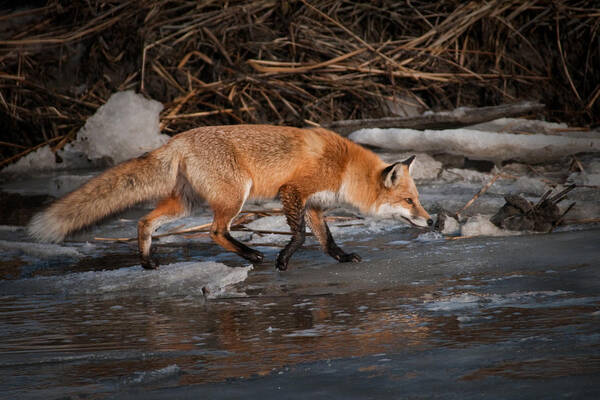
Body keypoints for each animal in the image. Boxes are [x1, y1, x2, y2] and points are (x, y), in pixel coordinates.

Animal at [28, 125, 432, 268]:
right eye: (410, 201)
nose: (431, 220)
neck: (345, 168)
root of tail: (177, 140)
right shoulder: (293, 191)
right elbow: (300, 236)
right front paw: (283, 259)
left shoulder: (315, 205)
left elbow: (326, 239)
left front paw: (343, 257)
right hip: (235, 196)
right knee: (215, 232)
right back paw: (252, 255)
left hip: (185, 204)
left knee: (145, 221)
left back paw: (146, 263)